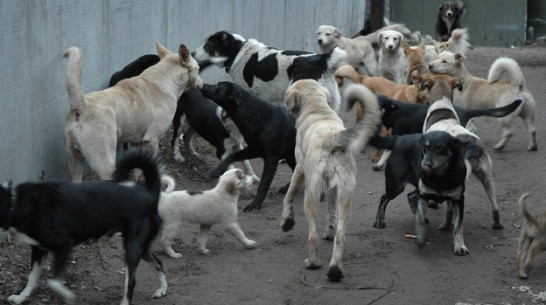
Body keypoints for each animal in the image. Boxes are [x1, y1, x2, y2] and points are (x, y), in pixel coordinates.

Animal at [0, 150, 166, 304]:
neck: (15, 202)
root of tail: (150, 193)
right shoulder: (38, 250)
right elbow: (32, 279)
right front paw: (20, 298)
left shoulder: (63, 246)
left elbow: (53, 282)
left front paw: (68, 296)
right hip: (139, 246)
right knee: (158, 262)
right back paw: (162, 289)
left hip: (132, 248)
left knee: (131, 281)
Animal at [62, 42, 202, 180]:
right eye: (199, 69)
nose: (202, 85)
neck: (165, 81)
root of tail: (82, 106)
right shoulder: (152, 140)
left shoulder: (136, 143)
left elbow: (138, 171)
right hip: (105, 162)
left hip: (75, 161)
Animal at [200, 82, 296, 213]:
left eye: (218, 87)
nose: (202, 85)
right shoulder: (254, 149)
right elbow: (232, 156)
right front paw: (219, 169)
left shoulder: (271, 158)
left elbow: (263, 185)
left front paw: (255, 204)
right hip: (291, 155)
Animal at [278, 79, 380, 280]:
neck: (318, 110)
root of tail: (331, 140)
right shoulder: (332, 189)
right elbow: (331, 213)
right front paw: (329, 230)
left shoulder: (299, 170)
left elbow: (289, 196)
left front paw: (287, 221)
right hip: (346, 197)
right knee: (340, 237)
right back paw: (334, 270)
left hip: (310, 195)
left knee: (313, 235)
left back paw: (313, 262)